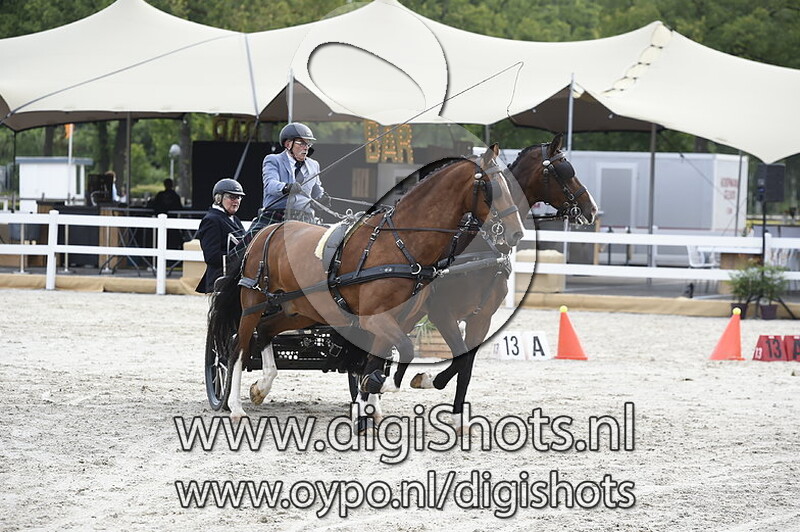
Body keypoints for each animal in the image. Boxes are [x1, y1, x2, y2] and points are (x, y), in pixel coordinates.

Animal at [208, 145, 524, 425]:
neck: (402, 244)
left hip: (299, 309)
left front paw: (369, 401)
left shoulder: (399, 319)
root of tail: (266, 233)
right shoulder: (377, 318)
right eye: (493, 188)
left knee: (265, 332)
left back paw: (260, 388)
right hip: (252, 304)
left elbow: (380, 358)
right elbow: (399, 354)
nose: (517, 233)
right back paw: (234, 406)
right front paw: (380, 389)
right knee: (236, 347)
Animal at [386, 133, 598, 429]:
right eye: (565, 171)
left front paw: (457, 415)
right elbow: (461, 358)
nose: (592, 209)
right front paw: (430, 379)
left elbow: (466, 363)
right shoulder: (442, 313)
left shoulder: (481, 318)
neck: (481, 245)